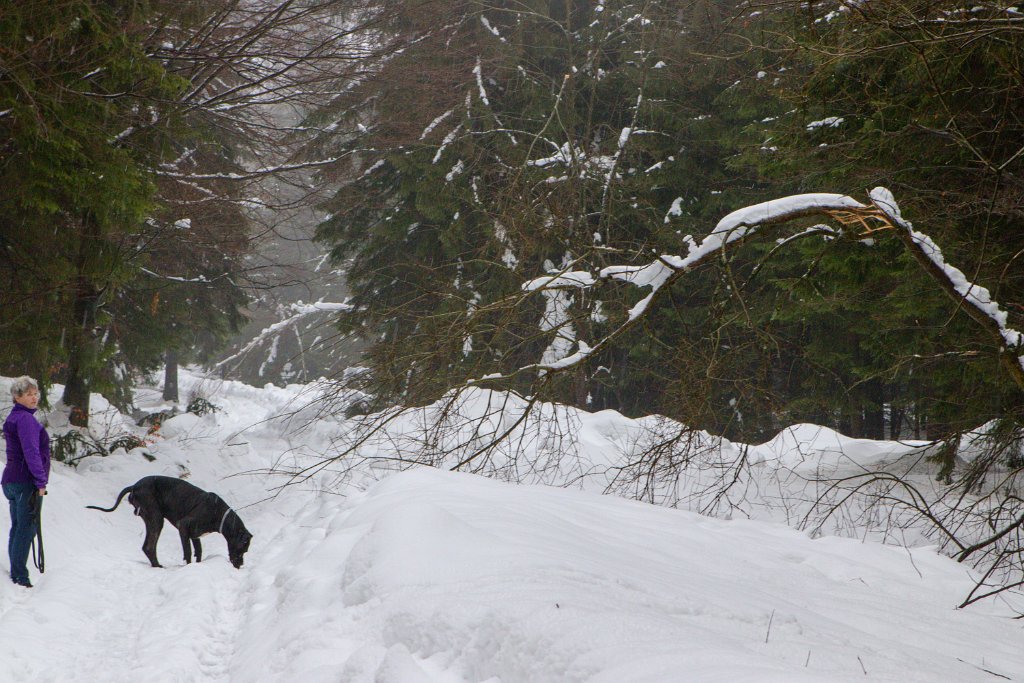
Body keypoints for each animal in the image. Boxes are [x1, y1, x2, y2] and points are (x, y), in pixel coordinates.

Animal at [90, 479, 253, 569]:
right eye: (243, 549)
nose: (240, 565)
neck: (218, 513)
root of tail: (134, 486)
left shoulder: (195, 535)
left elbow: (198, 552)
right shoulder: (184, 527)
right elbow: (188, 552)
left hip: (154, 519)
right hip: (156, 518)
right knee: (149, 546)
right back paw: (158, 567)